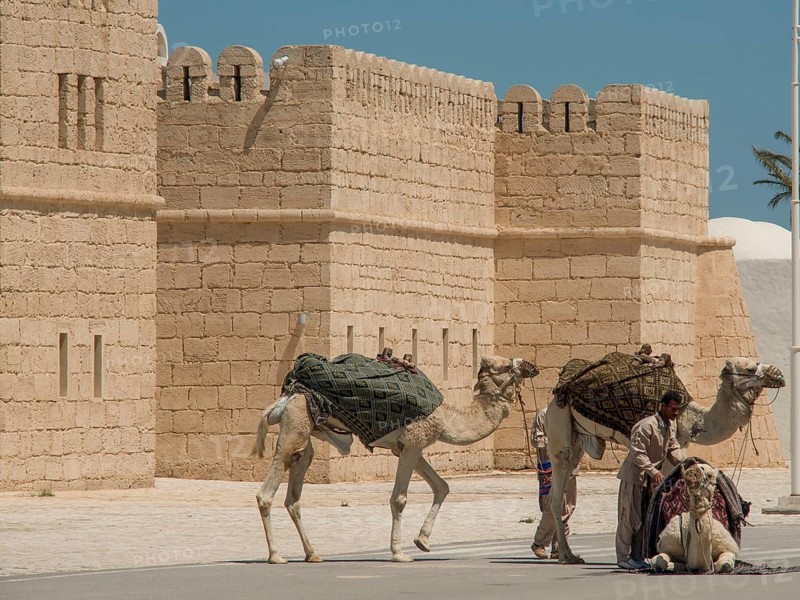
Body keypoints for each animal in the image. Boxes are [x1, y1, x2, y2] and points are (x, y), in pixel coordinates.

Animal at [251, 355, 539, 564]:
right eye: (504, 365)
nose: (531, 365)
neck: (447, 418)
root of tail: (286, 397)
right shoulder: (414, 441)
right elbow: (399, 498)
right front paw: (399, 553)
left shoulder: (407, 447)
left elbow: (442, 486)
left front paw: (422, 541)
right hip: (295, 426)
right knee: (266, 492)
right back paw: (276, 556)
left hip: (306, 436)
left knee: (294, 496)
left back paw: (313, 554)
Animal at [545, 356, 784, 564]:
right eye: (750, 368)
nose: (779, 374)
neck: (690, 418)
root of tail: (560, 386)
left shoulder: (675, 446)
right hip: (560, 419)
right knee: (559, 480)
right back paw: (566, 556)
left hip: (577, 438)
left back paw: (569, 554)